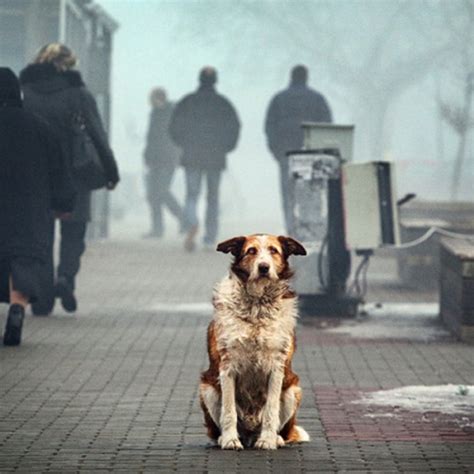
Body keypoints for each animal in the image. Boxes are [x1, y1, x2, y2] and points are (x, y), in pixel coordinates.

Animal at [198, 235, 310, 450]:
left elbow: (271, 410)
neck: (257, 305)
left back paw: (274, 438)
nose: (264, 267)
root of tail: (249, 435)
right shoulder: (227, 367)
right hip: (207, 389)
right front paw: (230, 440)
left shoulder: (276, 368)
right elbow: (229, 410)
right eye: (251, 251)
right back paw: (225, 438)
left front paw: (267, 440)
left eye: (274, 250)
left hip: (293, 390)